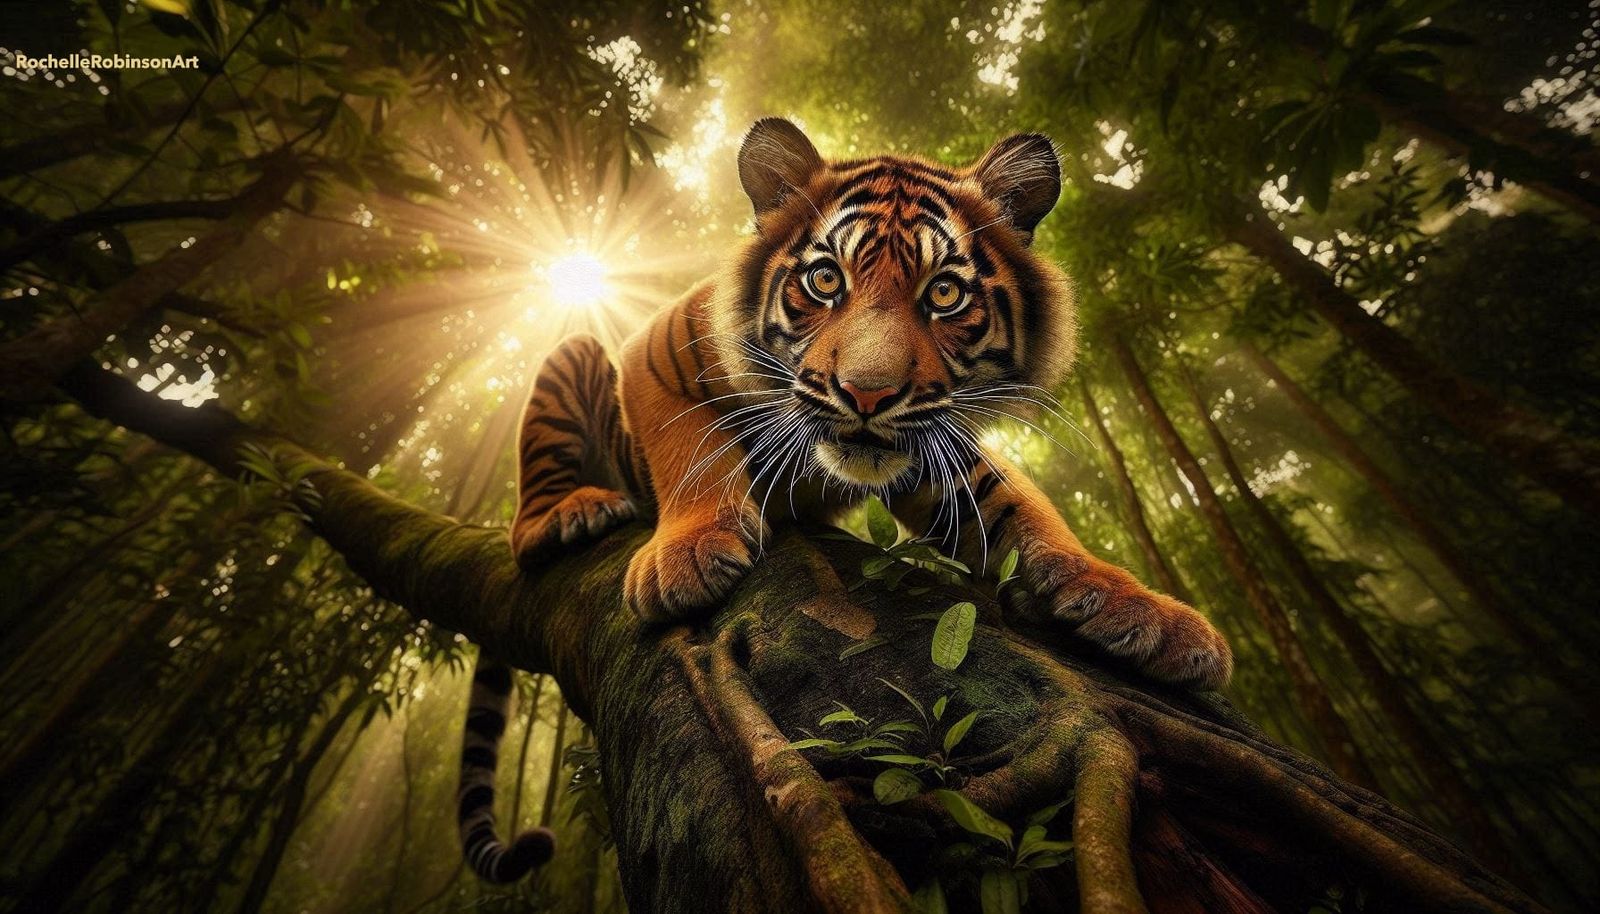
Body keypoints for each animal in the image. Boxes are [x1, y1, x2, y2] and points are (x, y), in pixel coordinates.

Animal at [455, 118, 1232, 882]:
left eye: (944, 294)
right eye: (825, 280)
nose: (866, 393)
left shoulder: (936, 444)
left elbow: (1027, 514)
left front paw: (1144, 612)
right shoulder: (656, 346)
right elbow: (691, 451)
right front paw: (688, 554)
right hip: (572, 363)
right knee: (533, 508)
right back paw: (567, 514)